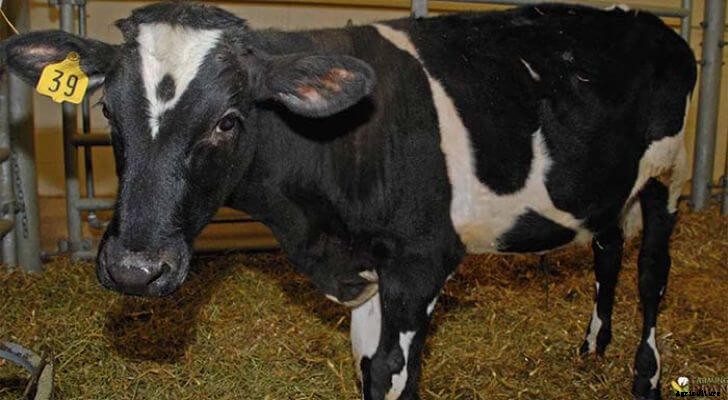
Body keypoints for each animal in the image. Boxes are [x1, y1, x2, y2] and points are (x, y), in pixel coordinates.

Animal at [1, 2, 696, 399]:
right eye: (105, 112)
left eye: (228, 120)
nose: (134, 269)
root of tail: (646, 20)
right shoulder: (364, 267)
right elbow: (367, 367)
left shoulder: (419, 260)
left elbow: (392, 372)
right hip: (607, 188)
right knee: (608, 248)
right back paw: (594, 346)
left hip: (670, 177)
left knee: (653, 272)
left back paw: (646, 375)